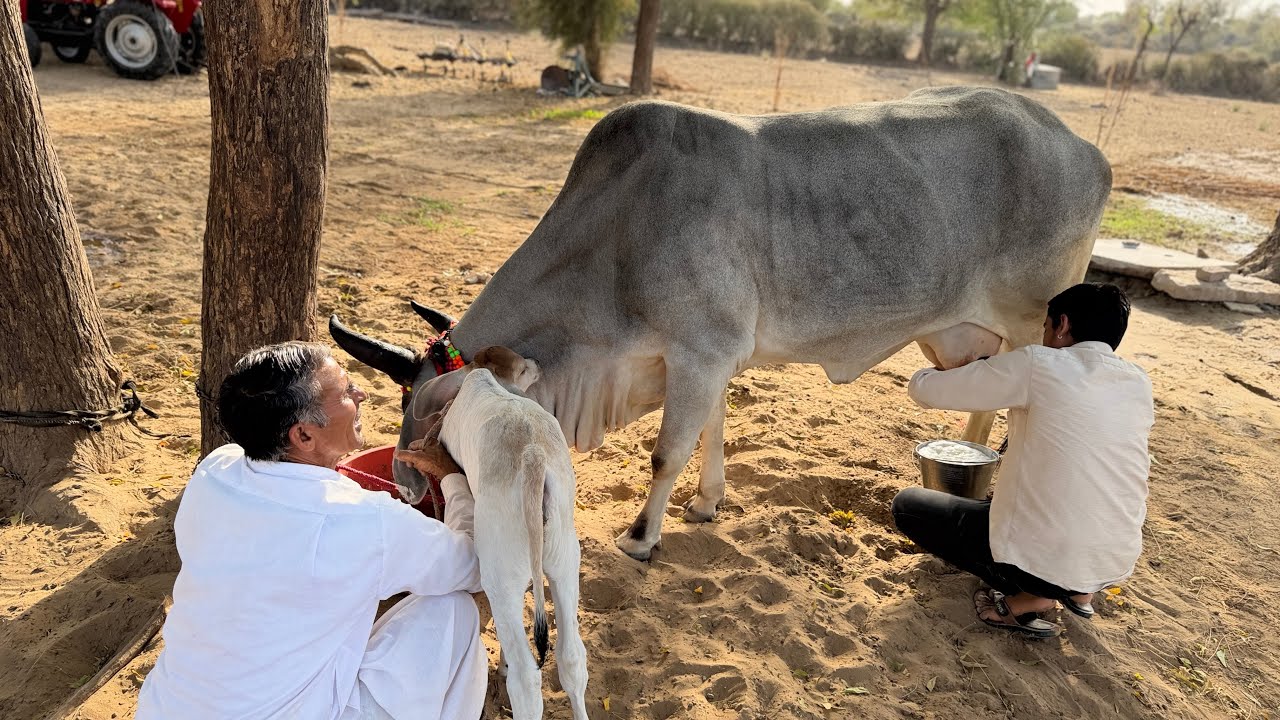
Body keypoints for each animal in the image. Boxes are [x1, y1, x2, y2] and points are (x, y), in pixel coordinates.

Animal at [330, 85, 1112, 562]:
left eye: (439, 418)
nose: (406, 486)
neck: (617, 235)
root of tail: (1084, 147)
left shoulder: (701, 351)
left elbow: (666, 451)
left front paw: (641, 536)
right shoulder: (702, 359)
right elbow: (711, 429)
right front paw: (707, 503)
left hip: (1033, 325)